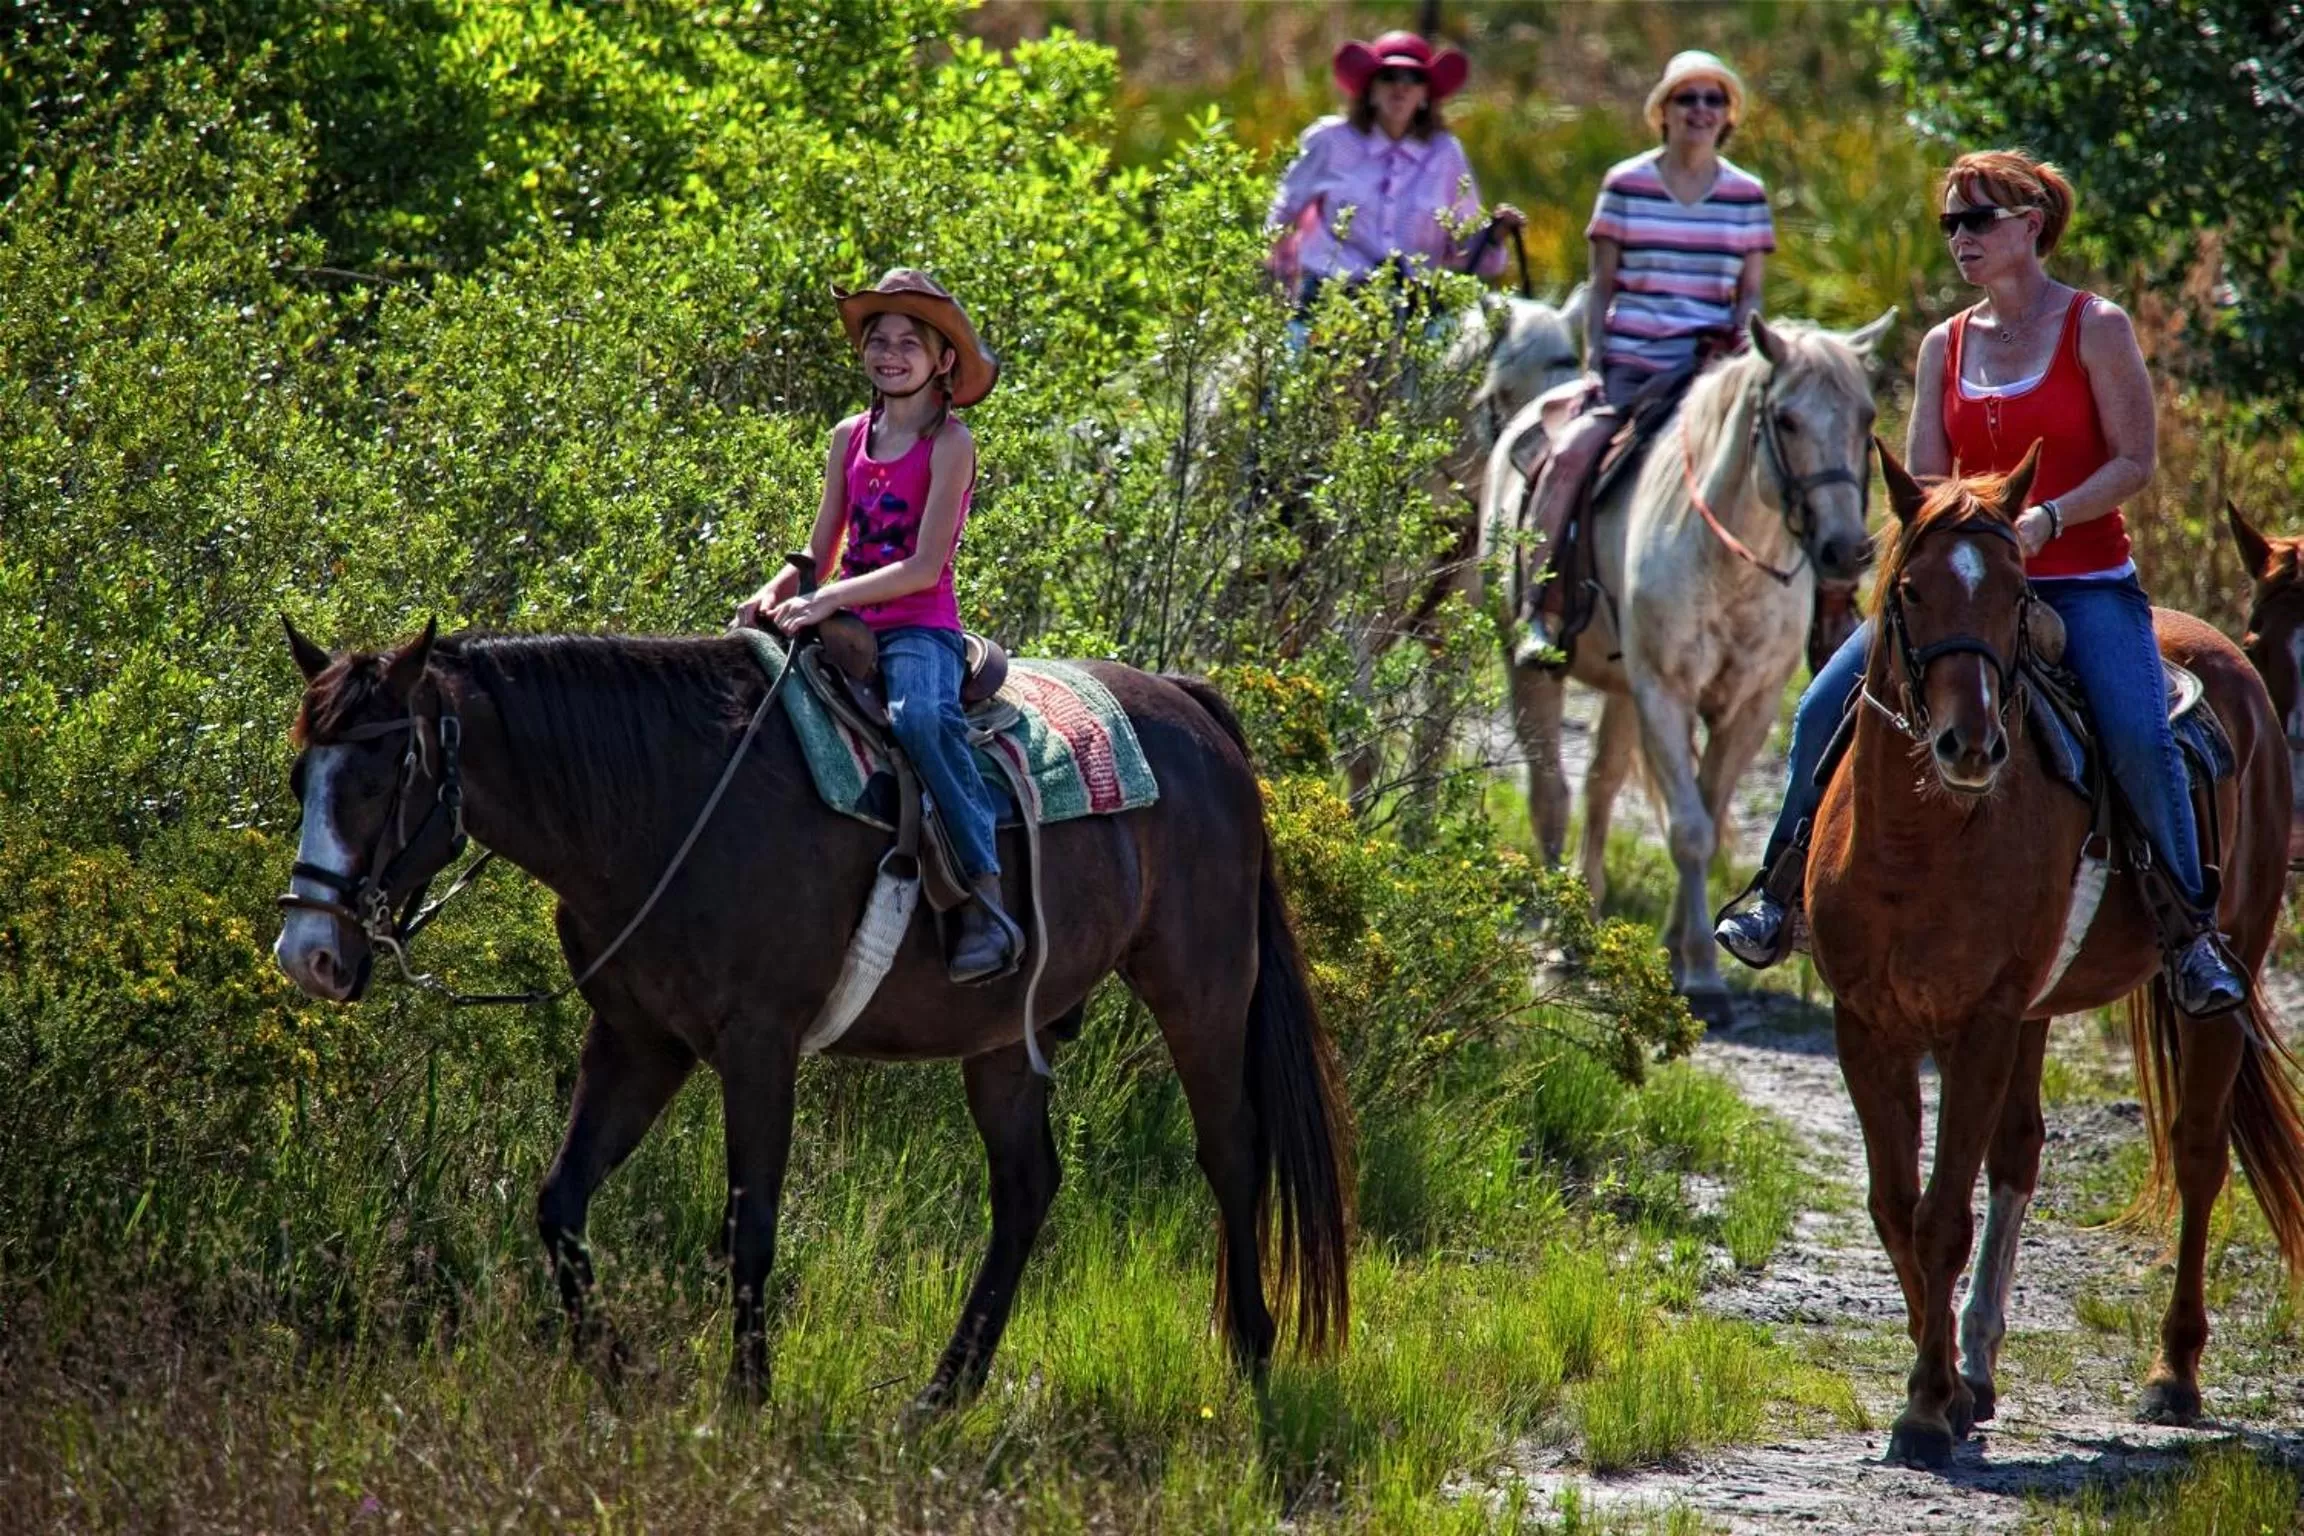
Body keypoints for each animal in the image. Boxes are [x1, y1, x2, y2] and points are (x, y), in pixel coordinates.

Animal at [270, 620, 1353, 1409]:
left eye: (380, 776)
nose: (308, 952)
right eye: (300, 778)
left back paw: (1252, 1353)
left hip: (1201, 988)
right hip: (1003, 1041)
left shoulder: (759, 1046)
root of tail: (1191, 707)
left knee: (1231, 1154)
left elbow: (750, 1227)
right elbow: (561, 1205)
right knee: (1028, 1188)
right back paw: (943, 1394)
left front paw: (747, 1401)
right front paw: (619, 1376)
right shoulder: (639, 1042)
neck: (666, 803)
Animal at [1479, 311, 1893, 1020]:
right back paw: (1557, 939)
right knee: (1552, 796)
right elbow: (1691, 830)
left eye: (1866, 418)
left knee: (1599, 787)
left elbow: (1705, 806)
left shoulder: (1748, 707)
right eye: (1786, 420)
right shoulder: (1666, 695)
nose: (1844, 550)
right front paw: (1699, 973)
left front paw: (1684, 949)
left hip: (1622, 689)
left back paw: (1582, 912)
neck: (1730, 560)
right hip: (1533, 667)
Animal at [1809, 447, 2304, 1468]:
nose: (1970, 745)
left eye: (2012, 595)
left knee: (2199, 1156)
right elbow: (1895, 1207)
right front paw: (1950, 1389)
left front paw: (1926, 1408)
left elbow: (1941, 1216)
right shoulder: (1866, 1024)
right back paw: (1982, 1363)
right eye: (1910, 591)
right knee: (2021, 1151)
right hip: (2034, 1014)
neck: (1917, 841)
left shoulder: (1983, 1023)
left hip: (2223, 972)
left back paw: (2173, 1374)